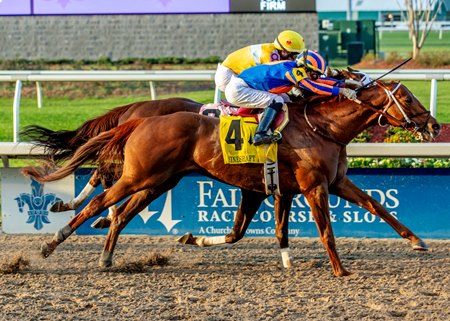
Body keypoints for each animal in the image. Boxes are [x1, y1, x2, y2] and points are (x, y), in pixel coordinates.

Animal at [22, 79, 442, 276]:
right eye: (408, 99)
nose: (434, 125)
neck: (321, 128)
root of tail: (140, 117)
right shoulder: (312, 187)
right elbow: (325, 231)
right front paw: (340, 270)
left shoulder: (317, 185)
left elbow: (377, 205)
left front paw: (418, 241)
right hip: (139, 176)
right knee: (99, 200)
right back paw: (53, 240)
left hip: (156, 182)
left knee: (121, 213)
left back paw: (107, 254)